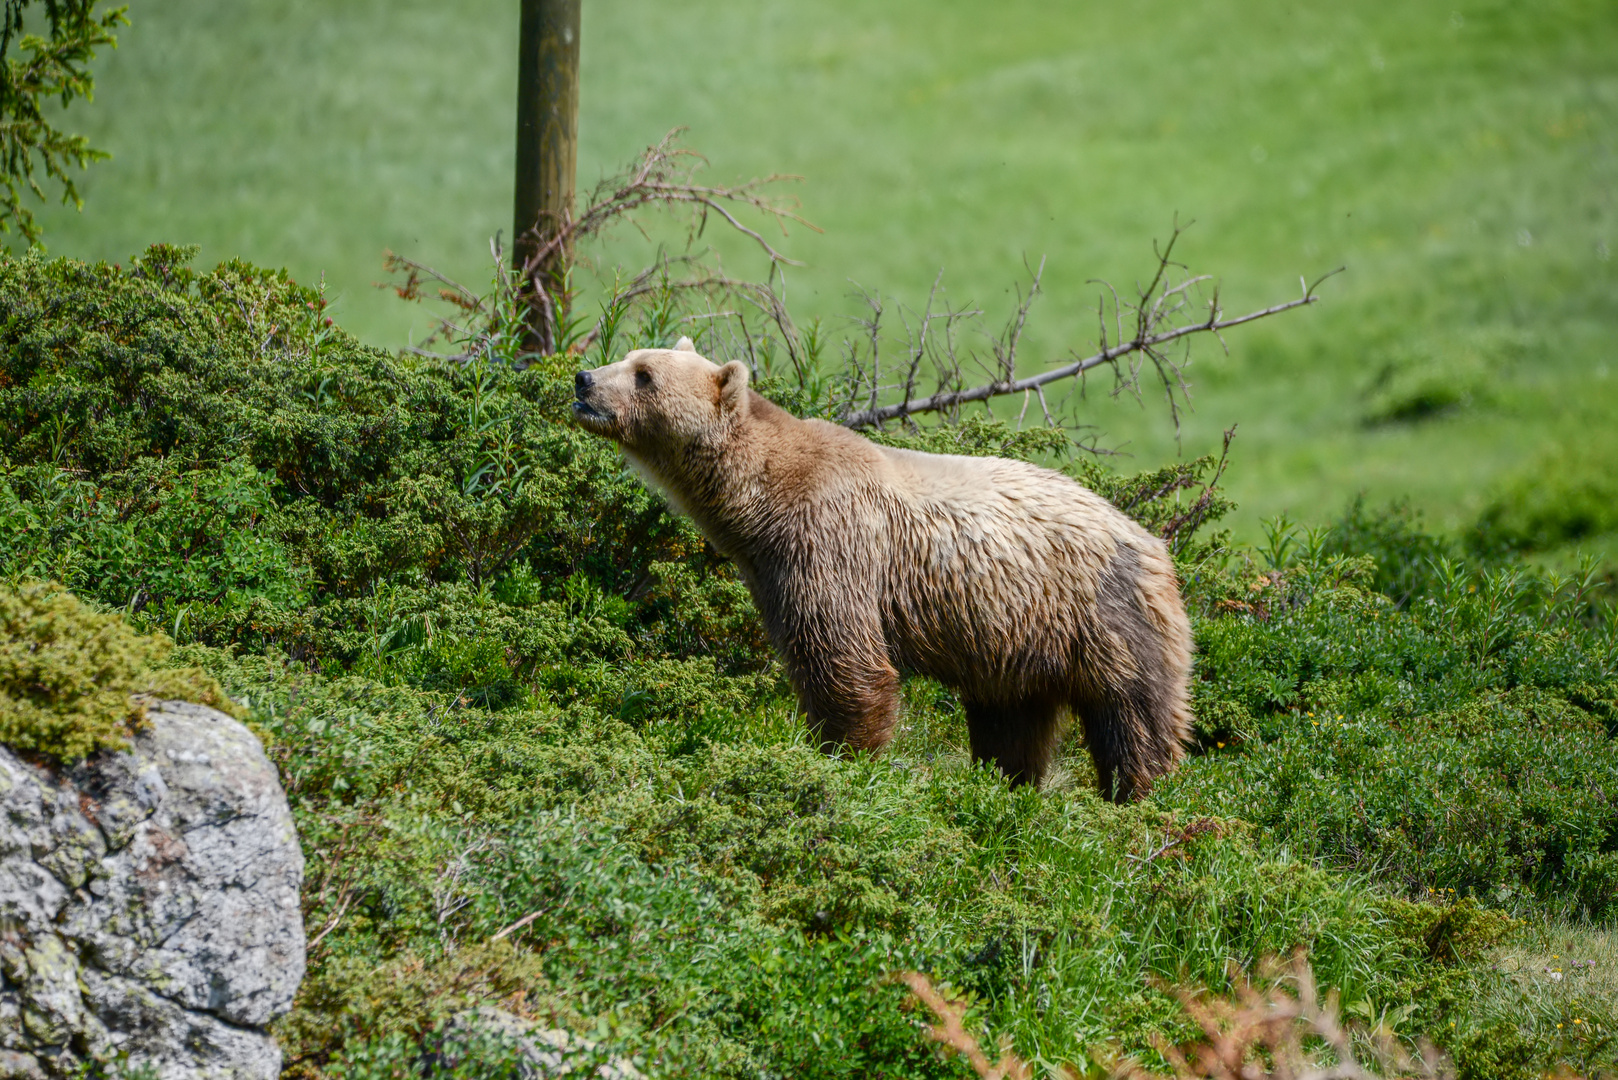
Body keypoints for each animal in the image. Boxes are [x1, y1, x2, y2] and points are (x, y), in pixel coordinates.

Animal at [576, 340, 1197, 803]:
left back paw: (1138, 793)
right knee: (1011, 719)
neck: (763, 500)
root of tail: (1156, 545)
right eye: (629, 355)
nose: (583, 380)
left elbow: (844, 659)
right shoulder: (770, 568)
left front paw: (842, 758)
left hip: (1103, 614)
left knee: (1135, 712)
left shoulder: (829, 541)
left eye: (644, 375)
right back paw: (1004, 784)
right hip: (1014, 637)